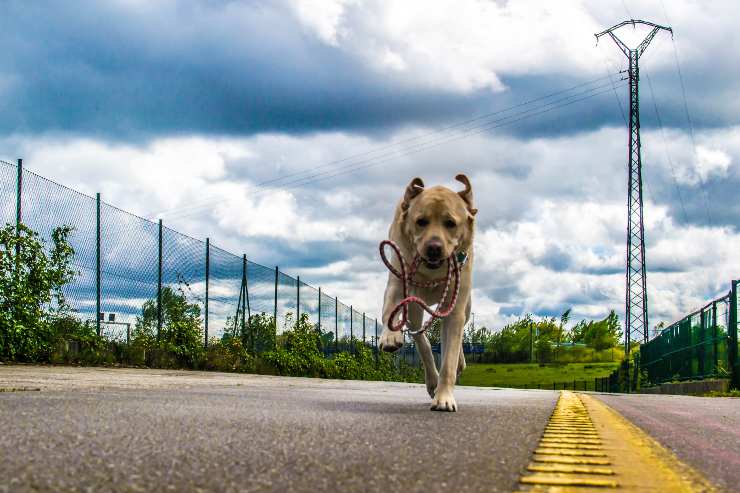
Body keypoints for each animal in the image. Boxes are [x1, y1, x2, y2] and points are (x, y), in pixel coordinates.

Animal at [378, 173, 476, 412]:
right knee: (421, 339)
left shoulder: (455, 308)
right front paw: (390, 336)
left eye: (450, 223)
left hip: (466, 307)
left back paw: (457, 364)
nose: (433, 247)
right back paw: (431, 380)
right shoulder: (398, 281)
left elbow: (449, 359)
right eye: (421, 221)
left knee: (455, 338)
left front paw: (444, 398)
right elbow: (391, 311)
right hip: (415, 308)